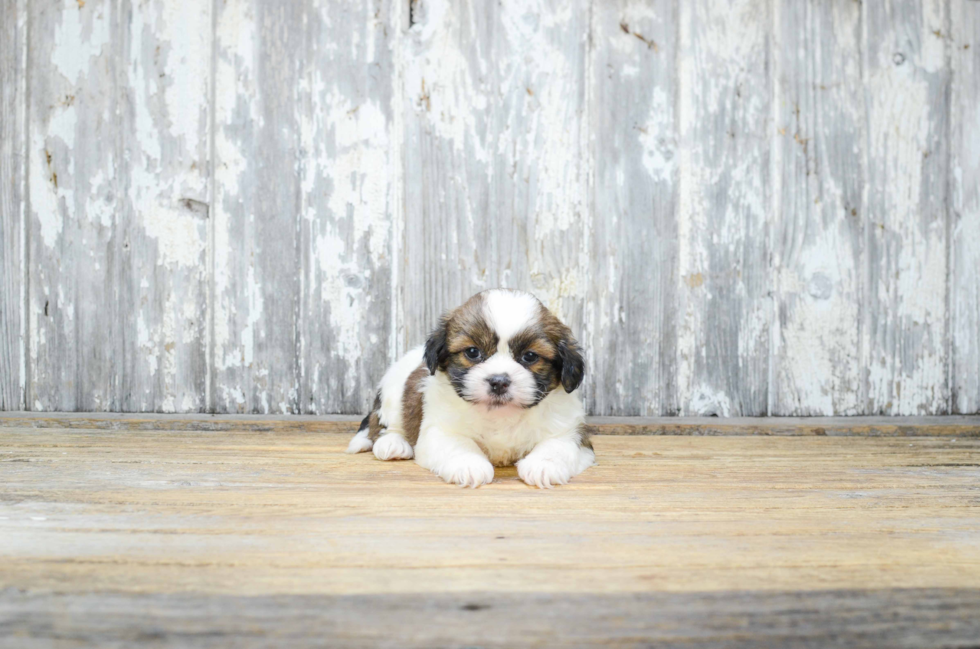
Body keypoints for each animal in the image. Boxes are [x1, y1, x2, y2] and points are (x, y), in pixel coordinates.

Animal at [346, 288, 588, 486]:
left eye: (529, 356)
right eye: (473, 352)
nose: (499, 381)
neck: (501, 415)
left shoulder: (570, 431)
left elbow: (557, 446)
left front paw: (544, 465)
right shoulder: (439, 430)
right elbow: (458, 444)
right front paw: (469, 465)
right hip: (392, 393)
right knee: (384, 424)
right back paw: (393, 443)